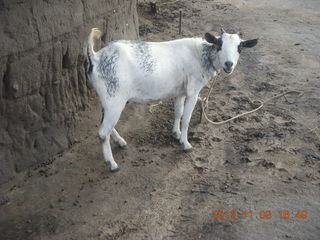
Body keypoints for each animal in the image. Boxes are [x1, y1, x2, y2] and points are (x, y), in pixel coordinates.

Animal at [84, 27, 258, 171]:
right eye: (219, 44)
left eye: (239, 47)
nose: (229, 64)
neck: (201, 55)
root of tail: (96, 57)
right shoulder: (193, 91)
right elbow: (186, 118)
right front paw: (186, 144)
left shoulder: (180, 92)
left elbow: (178, 112)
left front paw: (176, 134)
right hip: (114, 99)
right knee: (102, 132)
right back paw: (112, 163)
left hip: (108, 99)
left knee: (104, 122)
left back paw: (120, 142)